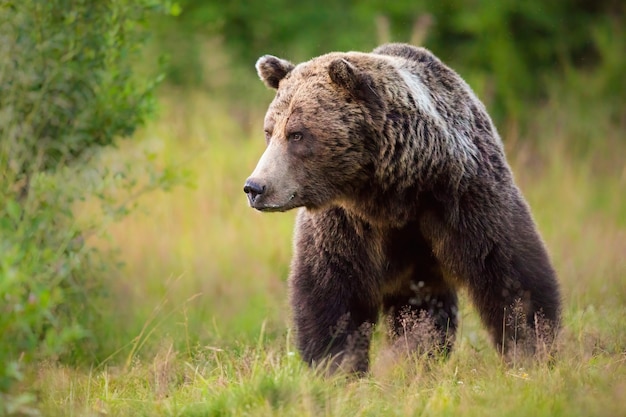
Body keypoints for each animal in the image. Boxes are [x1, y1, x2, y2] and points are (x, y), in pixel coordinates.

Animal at [241, 44, 560, 372]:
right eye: (269, 131)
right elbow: (331, 289)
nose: (256, 187)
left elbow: (509, 273)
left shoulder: (465, 197)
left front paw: (531, 347)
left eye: (297, 133)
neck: (393, 193)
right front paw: (335, 362)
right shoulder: (346, 221)